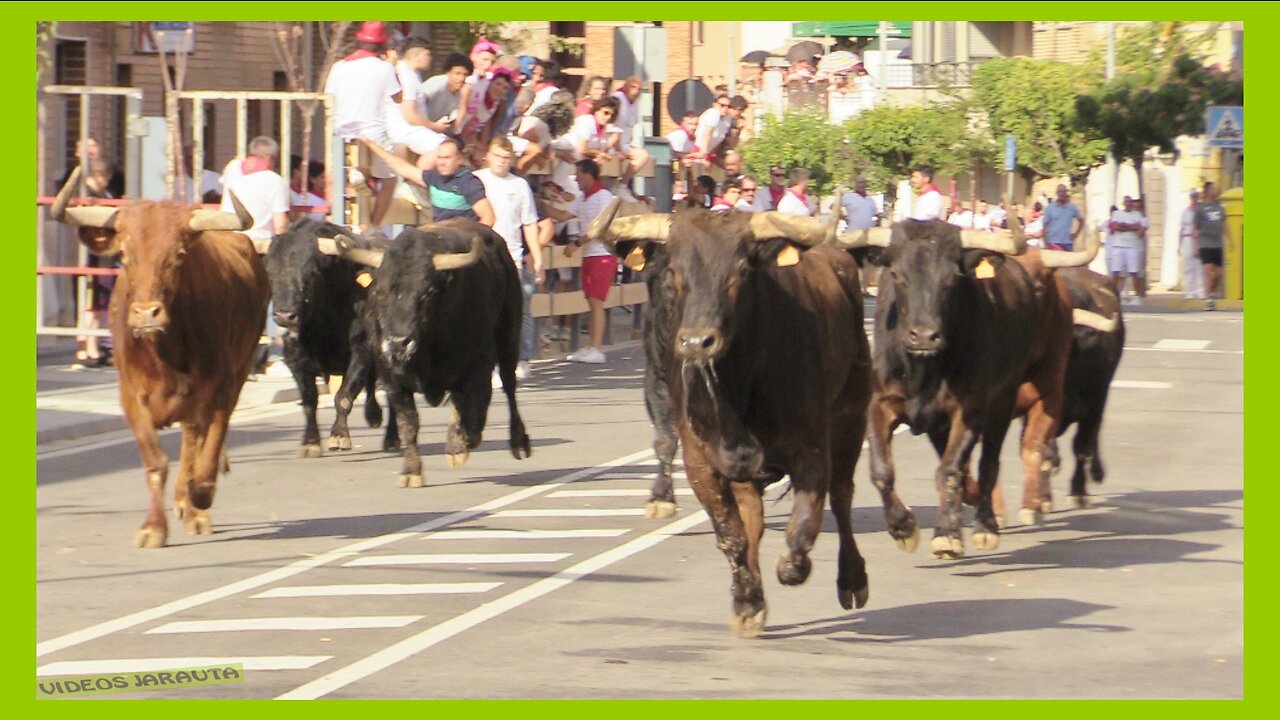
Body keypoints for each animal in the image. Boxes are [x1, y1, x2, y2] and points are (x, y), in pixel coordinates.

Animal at [49, 163, 270, 543]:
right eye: (124, 255)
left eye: (178, 256)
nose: (147, 314)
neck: (163, 353)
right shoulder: (131, 398)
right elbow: (156, 463)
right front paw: (153, 528)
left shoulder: (220, 391)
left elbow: (206, 459)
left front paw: (199, 498)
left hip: (238, 370)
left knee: (195, 442)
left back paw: (193, 505)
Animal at [591, 198, 875, 635]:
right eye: (673, 271)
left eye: (741, 270)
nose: (697, 341)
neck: (738, 386)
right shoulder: (702, 463)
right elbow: (733, 534)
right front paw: (747, 602)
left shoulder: (812, 450)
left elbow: (803, 525)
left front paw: (790, 568)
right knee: (753, 517)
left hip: (851, 413)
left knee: (842, 495)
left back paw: (852, 580)